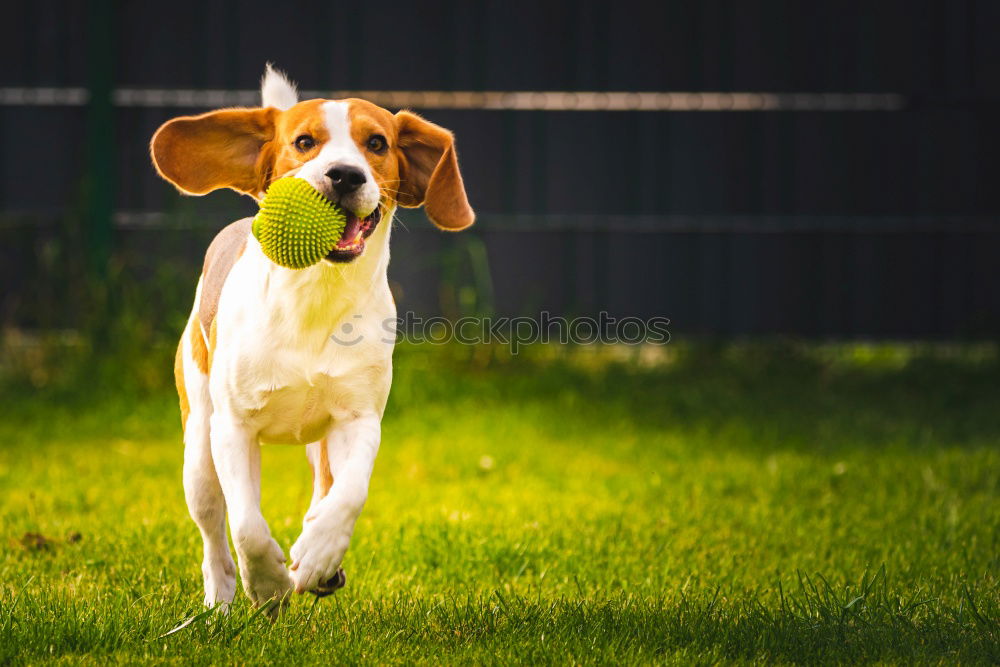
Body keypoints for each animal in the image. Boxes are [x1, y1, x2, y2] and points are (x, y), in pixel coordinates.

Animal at [150, 66, 474, 612]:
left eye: (377, 143)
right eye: (303, 142)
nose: (345, 174)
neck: (314, 295)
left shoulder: (359, 418)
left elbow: (350, 493)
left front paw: (319, 553)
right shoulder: (233, 428)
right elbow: (247, 525)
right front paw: (267, 583)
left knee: (324, 486)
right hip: (198, 445)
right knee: (214, 526)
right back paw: (219, 599)